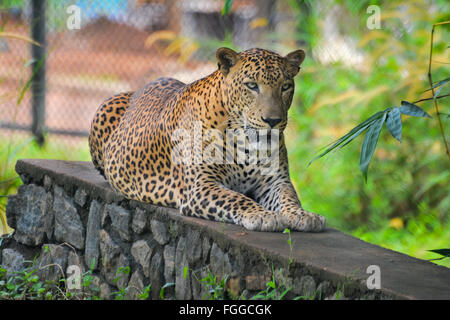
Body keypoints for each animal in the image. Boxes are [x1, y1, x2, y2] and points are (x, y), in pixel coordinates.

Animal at [89, 47, 326, 231]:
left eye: (286, 86)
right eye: (252, 85)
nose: (273, 120)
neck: (247, 141)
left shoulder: (275, 181)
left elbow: (289, 197)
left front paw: (304, 215)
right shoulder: (201, 185)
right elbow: (236, 198)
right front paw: (262, 215)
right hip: (105, 107)